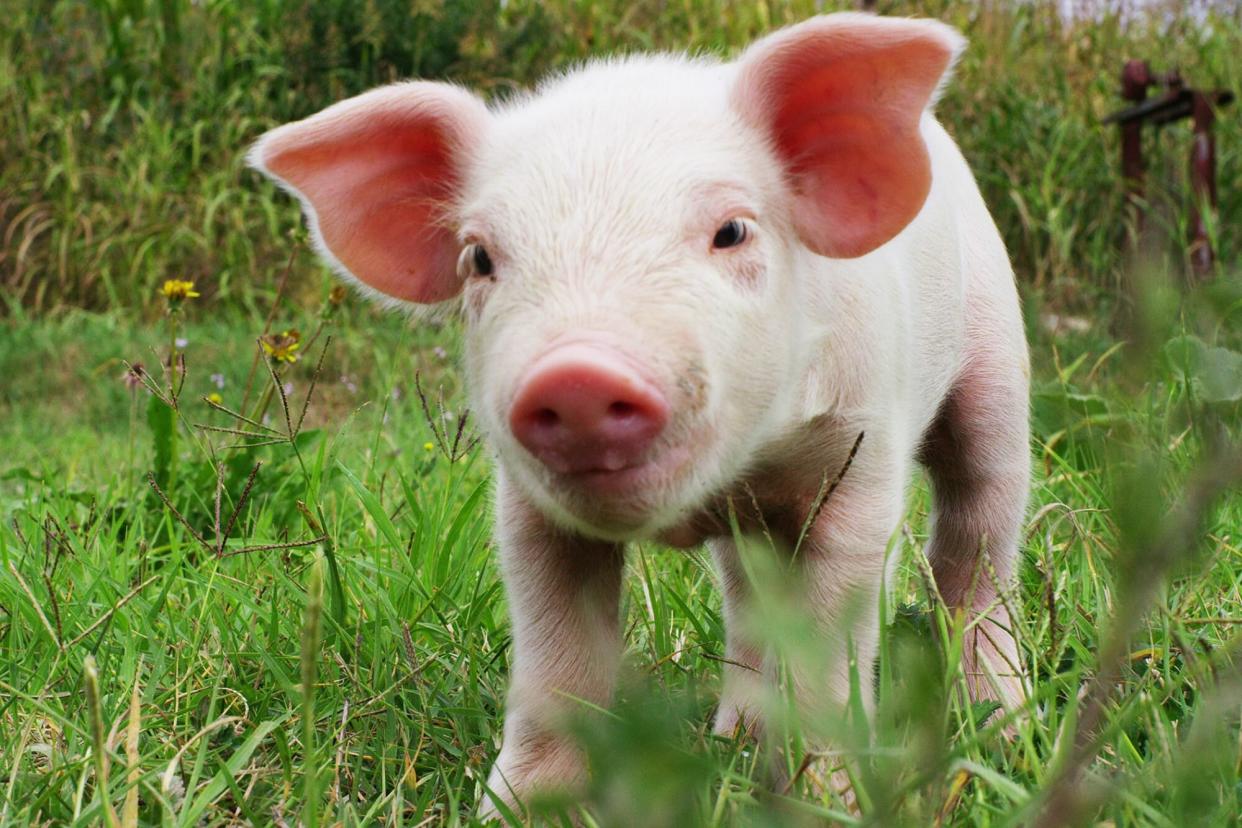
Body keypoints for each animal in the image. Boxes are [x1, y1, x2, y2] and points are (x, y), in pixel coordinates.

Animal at [249, 11, 1028, 814]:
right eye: (480, 258)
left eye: (732, 231)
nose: (577, 374)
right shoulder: (530, 512)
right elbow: (556, 660)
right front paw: (521, 810)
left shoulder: (861, 460)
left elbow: (830, 654)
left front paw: (827, 804)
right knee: (748, 592)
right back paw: (735, 735)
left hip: (997, 359)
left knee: (981, 527)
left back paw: (998, 723)